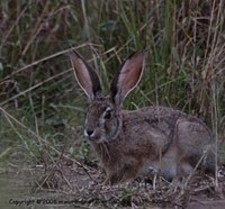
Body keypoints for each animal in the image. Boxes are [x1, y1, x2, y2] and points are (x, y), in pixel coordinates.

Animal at [69, 49, 215, 185]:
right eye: (88, 112)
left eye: (108, 114)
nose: (89, 131)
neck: (119, 132)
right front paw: (104, 183)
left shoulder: (145, 151)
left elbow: (135, 169)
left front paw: (123, 183)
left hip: (186, 137)